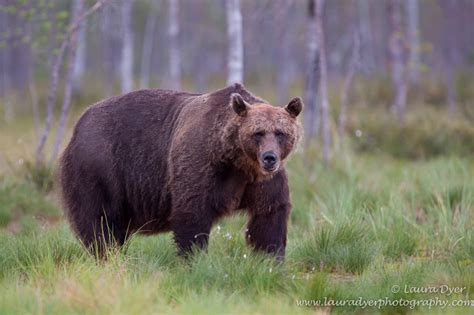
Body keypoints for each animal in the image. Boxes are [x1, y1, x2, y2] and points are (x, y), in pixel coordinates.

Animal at [59, 82, 304, 260]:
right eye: (258, 133)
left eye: (280, 133)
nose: (269, 158)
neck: (238, 160)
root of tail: (79, 124)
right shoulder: (201, 163)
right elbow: (192, 213)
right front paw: (194, 259)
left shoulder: (262, 181)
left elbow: (269, 215)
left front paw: (271, 259)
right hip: (100, 167)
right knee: (99, 220)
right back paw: (107, 255)